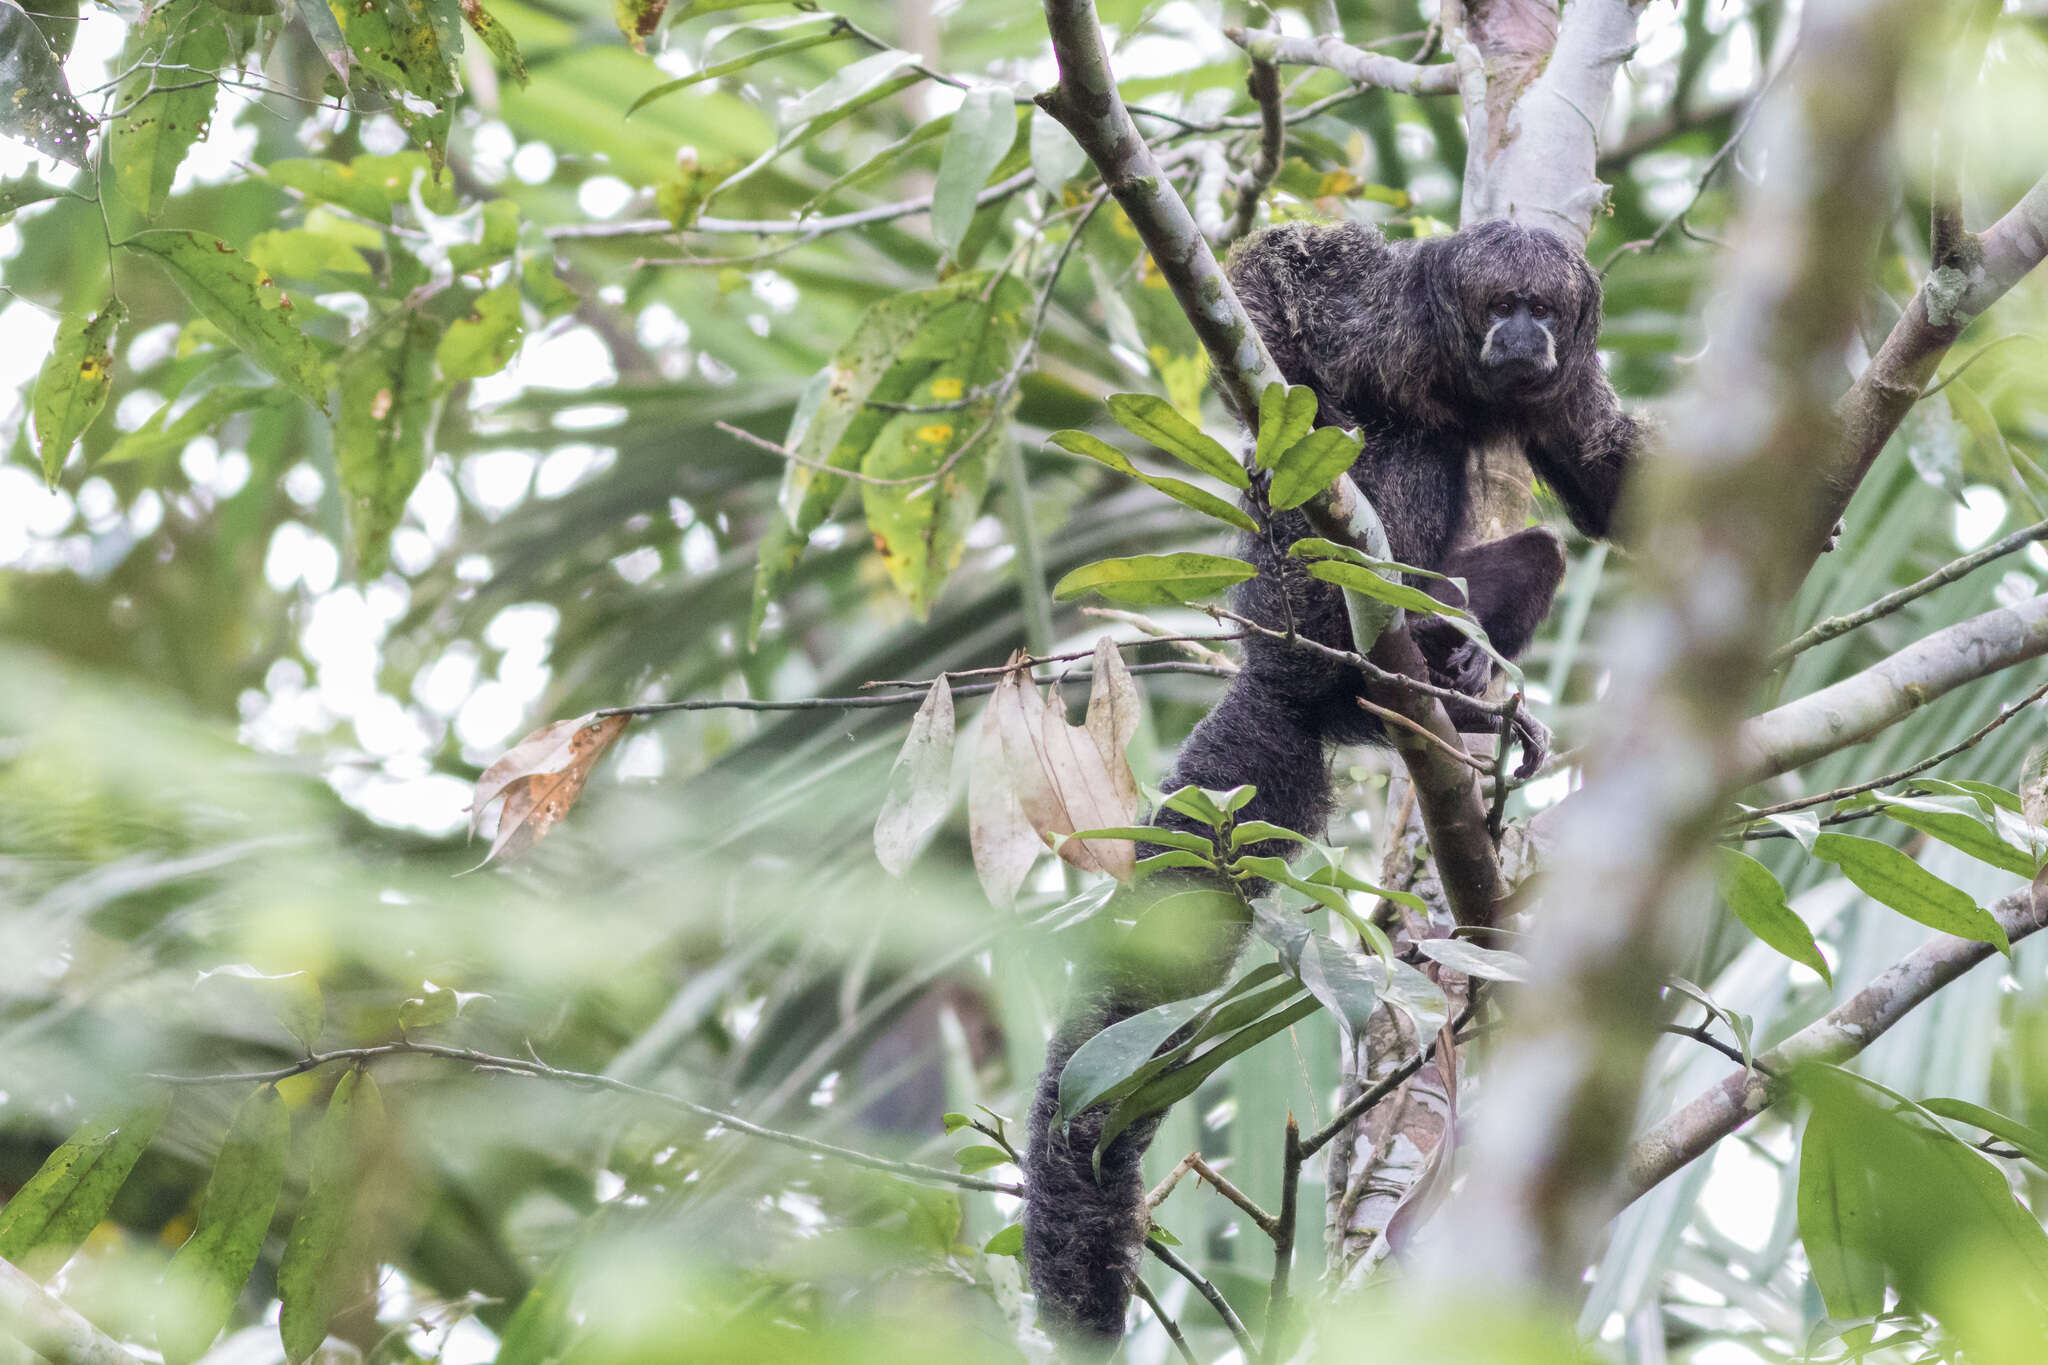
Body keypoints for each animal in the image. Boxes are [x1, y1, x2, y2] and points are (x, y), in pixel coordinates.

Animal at [1024, 215, 1646, 1358]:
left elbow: (1598, 475)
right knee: (1387, 461)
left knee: (1533, 548)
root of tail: (1278, 677)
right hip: (1293, 615)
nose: (1524, 334)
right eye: (1499, 306)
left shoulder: (1569, 377)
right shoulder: (1389, 311)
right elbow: (1274, 282)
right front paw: (1277, 445)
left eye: (1542, 309)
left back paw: (1446, 687)